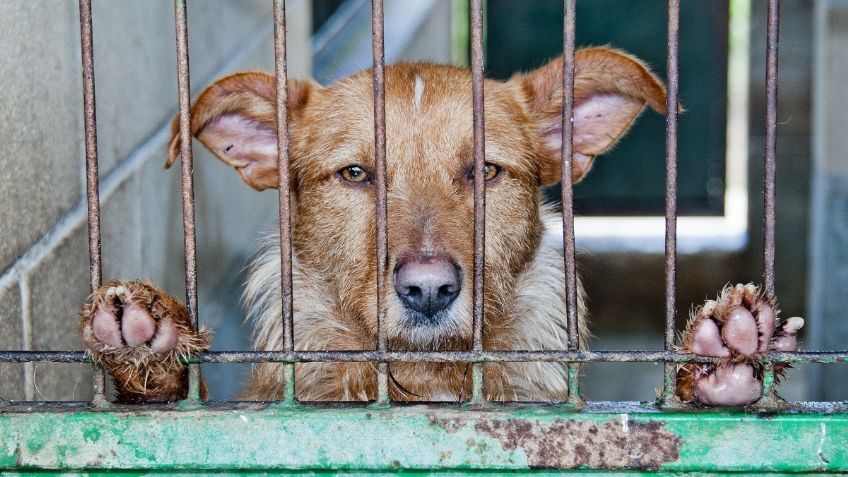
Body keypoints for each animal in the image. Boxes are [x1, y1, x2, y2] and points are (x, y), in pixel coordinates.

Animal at [79, 46, 800, 404]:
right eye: (355, 174)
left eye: (485, 170)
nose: (428, 290)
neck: (426, 380)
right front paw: (150, 349)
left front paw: (717, 364)